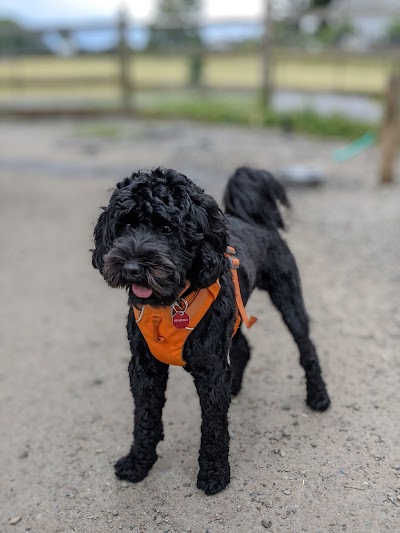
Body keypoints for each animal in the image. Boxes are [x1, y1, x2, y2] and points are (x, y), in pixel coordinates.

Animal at [92, 167, 330, 494]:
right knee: (243, 347)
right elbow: (145, 418)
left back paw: (318, 396)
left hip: (287, 297)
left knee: (306, 346)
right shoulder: (144, 367)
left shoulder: (210, 369)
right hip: (231, 318)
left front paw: (214, 474)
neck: (171, 303)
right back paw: (237, 386)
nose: (131, 268)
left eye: (167, 228)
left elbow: (214, 426)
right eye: (125, 224)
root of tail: (253, 219)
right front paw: (138, 463)